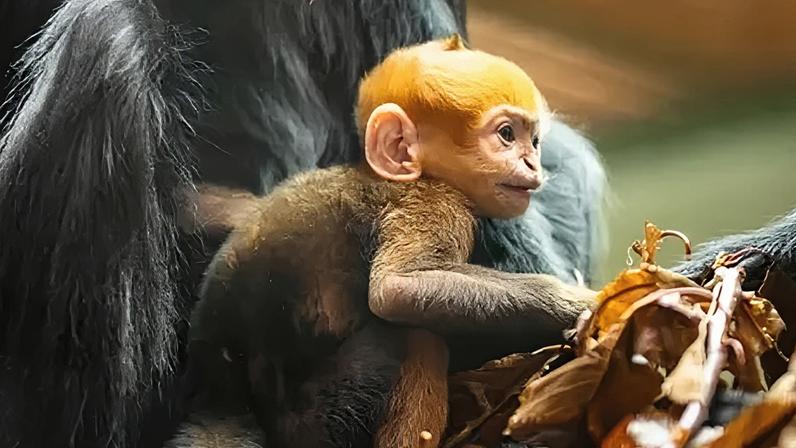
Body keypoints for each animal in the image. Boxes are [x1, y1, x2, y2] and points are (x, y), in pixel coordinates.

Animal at [189, 35, 596, 448]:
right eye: (507, 135)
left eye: (535, 142)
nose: (533, 164)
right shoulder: (434, 202)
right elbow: (398, 288)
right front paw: (581, 304)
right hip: (316, 418)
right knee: (417, 339)